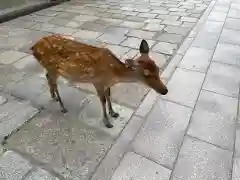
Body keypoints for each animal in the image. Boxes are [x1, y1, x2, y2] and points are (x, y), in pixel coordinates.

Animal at [30, 34, 169, 128]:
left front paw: (114, 113)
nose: (165, 91)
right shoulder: (97, 82)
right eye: (146, 74)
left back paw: (53, 97)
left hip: (50, 69)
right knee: (53, 81)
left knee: (47, 77)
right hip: (52, 68)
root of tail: (33, 47)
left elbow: (109, 95)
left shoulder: (106, 84)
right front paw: (107, 122)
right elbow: (102, 100)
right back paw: (62, 107)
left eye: (157, 68)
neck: (114, 74)